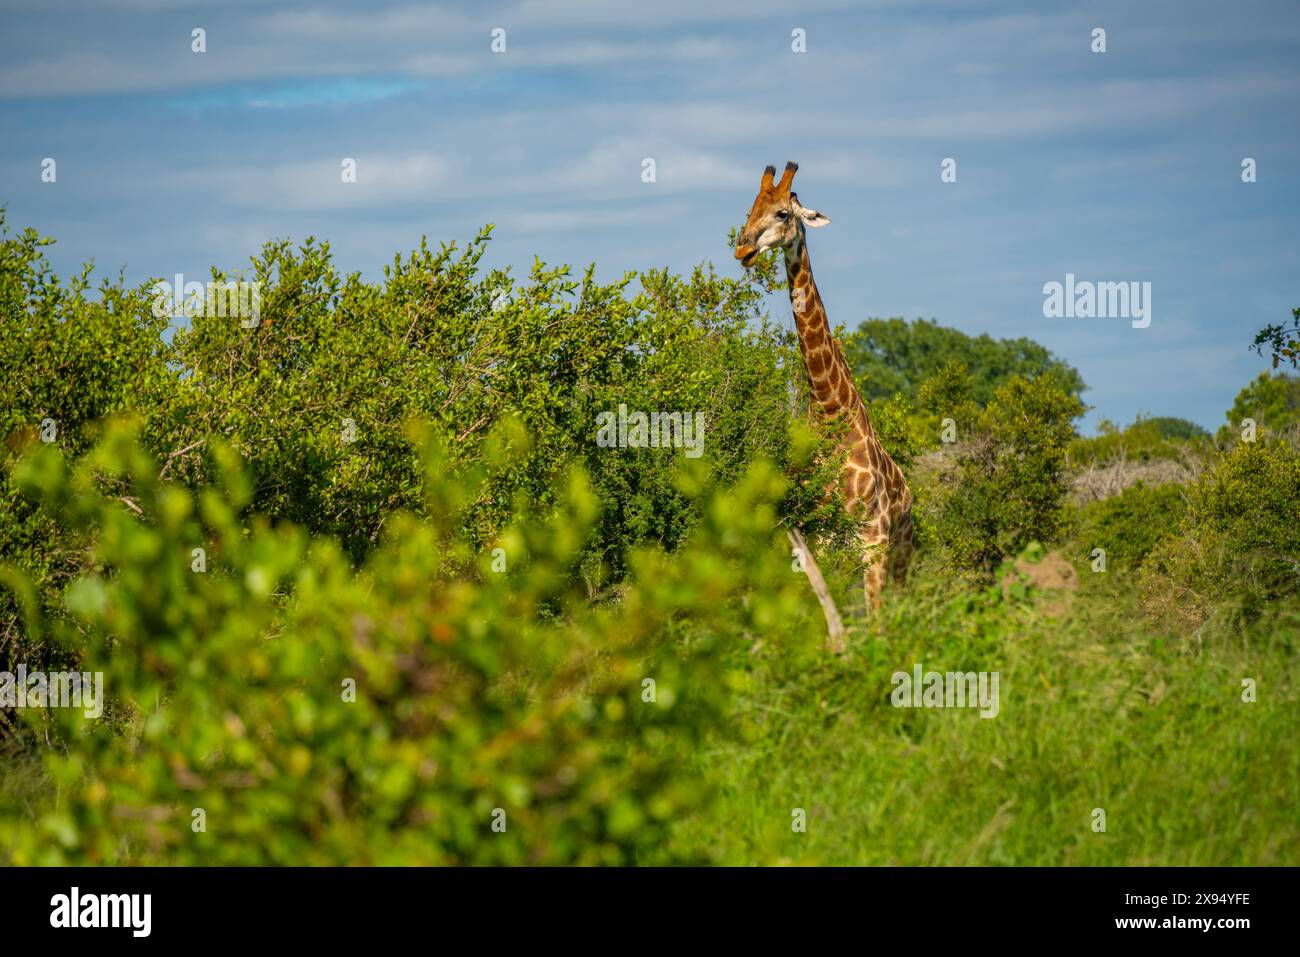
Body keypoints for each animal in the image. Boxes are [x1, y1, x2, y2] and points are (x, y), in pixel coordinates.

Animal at [735, 161, 914, 611]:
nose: (742, 249)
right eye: (750, 208)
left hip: (901, 555)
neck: (831, 410)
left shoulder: (873, 544)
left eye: (782, 212)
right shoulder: (817, 540)